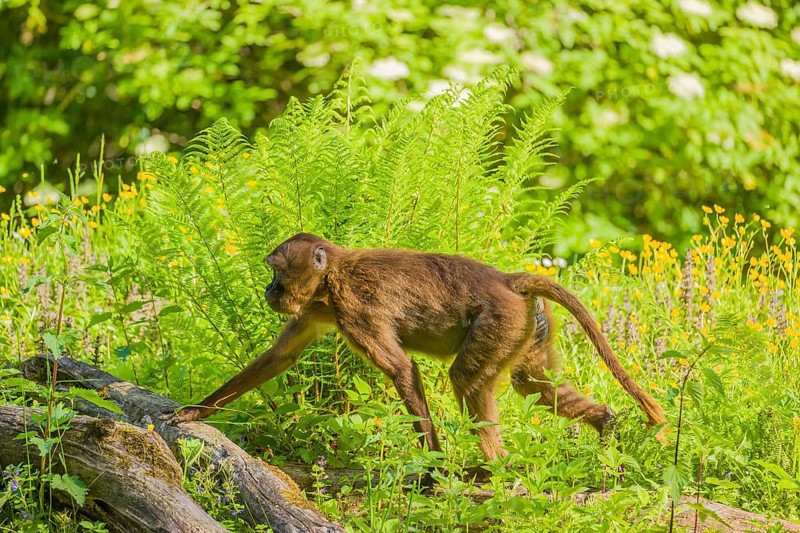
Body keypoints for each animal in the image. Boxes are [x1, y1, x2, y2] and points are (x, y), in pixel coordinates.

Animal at [171, 233, 667, 461]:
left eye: (277, 271)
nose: (270, 292)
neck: (332, 277)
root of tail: (509, 281)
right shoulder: (316, 309)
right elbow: (280, 357)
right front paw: (194, 412)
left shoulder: (354, 309)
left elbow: (402, 370)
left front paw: (432, 462)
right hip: (526, 328)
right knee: (532, 387)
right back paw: (604, 424)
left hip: (500, 320)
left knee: (466, 378)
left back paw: (496, 466)